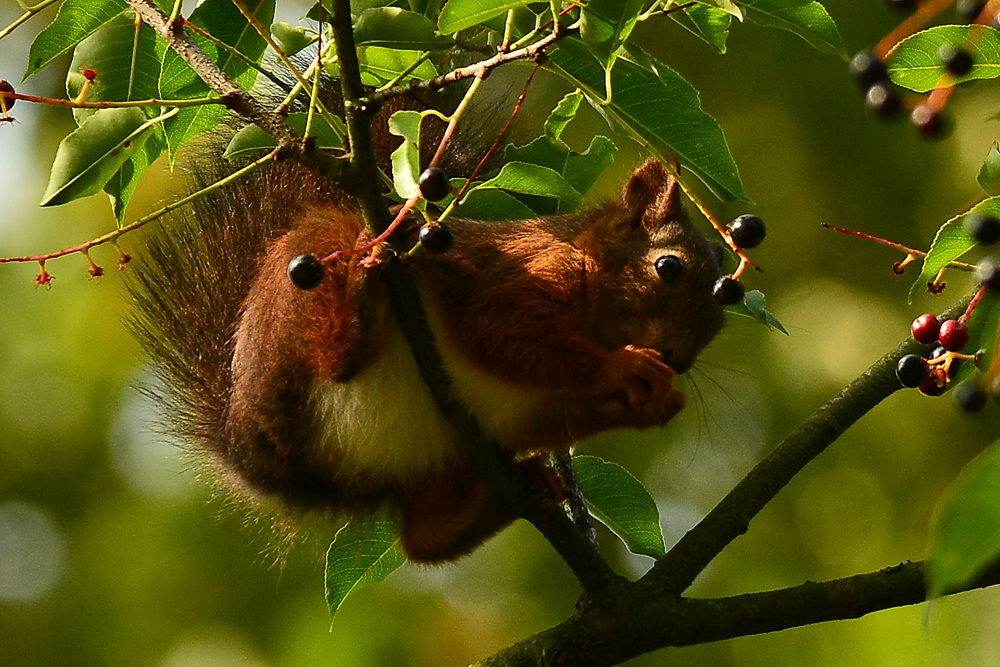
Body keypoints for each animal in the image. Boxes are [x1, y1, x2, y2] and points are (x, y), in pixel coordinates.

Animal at [126, 97, 726, 563]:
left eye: (722, 314)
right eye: (668, 267)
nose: (677, 358)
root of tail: (245, 444)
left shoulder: (536, 407)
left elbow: (557, 408)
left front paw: (657, 402)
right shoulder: (517, 277)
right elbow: (509, 335)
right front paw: (623, 367)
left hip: (438, 466)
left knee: (423, 541)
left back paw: (523, 488)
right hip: (304, 289)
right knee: (335, 360)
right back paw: (360, 302)